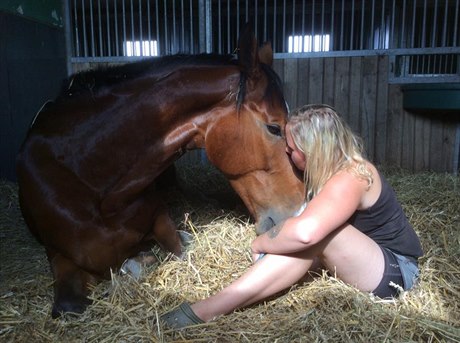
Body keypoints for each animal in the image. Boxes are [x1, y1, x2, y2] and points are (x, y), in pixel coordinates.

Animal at [16, 27, 304, 320]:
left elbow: (178, 249)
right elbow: (67, 306)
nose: (299, 209)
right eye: (274, 128)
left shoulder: (162, 221)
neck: (90, 178)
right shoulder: (57, 255)